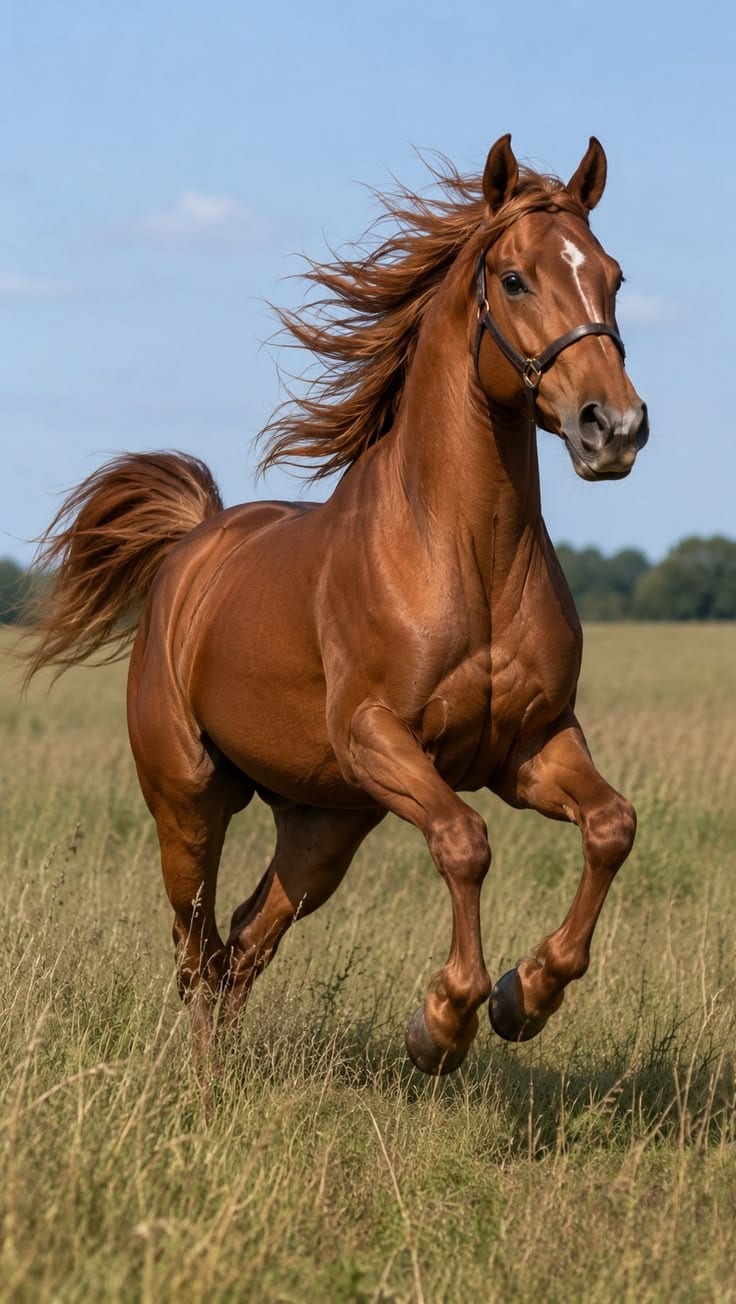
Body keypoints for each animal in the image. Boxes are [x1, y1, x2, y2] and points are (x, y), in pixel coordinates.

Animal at [24, 134, 648, 1075]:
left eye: (613, 275)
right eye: (514, 279)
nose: (613, 427)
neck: (467, 558)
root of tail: (194, 544)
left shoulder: (531, 745)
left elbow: (611, 824)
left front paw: (526, 995)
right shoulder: (378, 738)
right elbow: (464, 842)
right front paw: (444, 1020)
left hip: (323, 826)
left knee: (244, 942)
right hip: (190, 802)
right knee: (195, 946)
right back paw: (204, 1084)